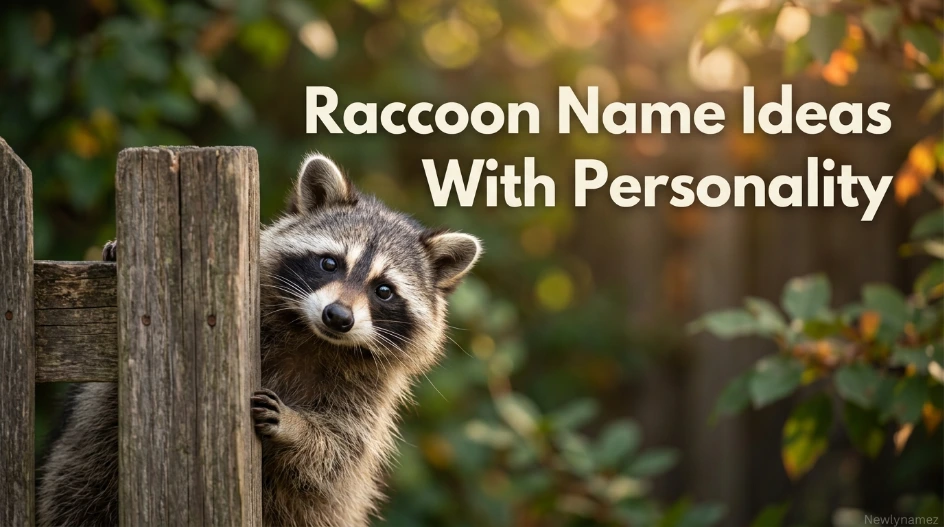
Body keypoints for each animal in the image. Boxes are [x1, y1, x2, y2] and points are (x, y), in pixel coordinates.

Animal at [37, 154, 482, 527]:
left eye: (384, 290)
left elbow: (338, 450)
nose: (338, 317)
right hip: (82, 471)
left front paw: (297, 428)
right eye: (330, 263)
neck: (312, 337)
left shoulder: (370, 394)